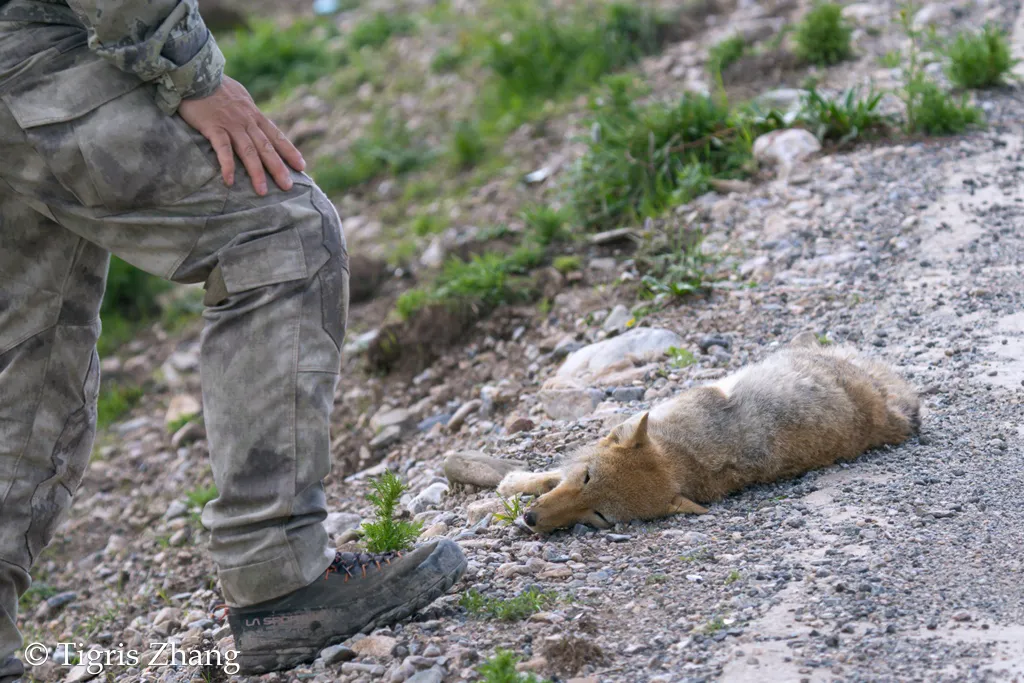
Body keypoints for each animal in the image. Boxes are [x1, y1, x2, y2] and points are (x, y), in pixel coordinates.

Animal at [499, 331, 925, 532]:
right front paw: (517, 484)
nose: (531, 520)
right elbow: (552, 475)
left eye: (600, 516)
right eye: (586, 478)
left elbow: (548, 475)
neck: (679, 455)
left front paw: (508, 487)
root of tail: (890, 418)